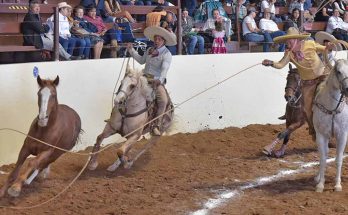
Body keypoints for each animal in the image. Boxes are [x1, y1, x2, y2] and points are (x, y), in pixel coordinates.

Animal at [312, 58, 348, 192]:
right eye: (338, 71)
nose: (347, 90)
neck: (332, 109)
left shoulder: (342, 135)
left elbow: (339, 159)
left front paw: (337, 184)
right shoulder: (321, 135)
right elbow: (323, 158)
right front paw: (320, 184)